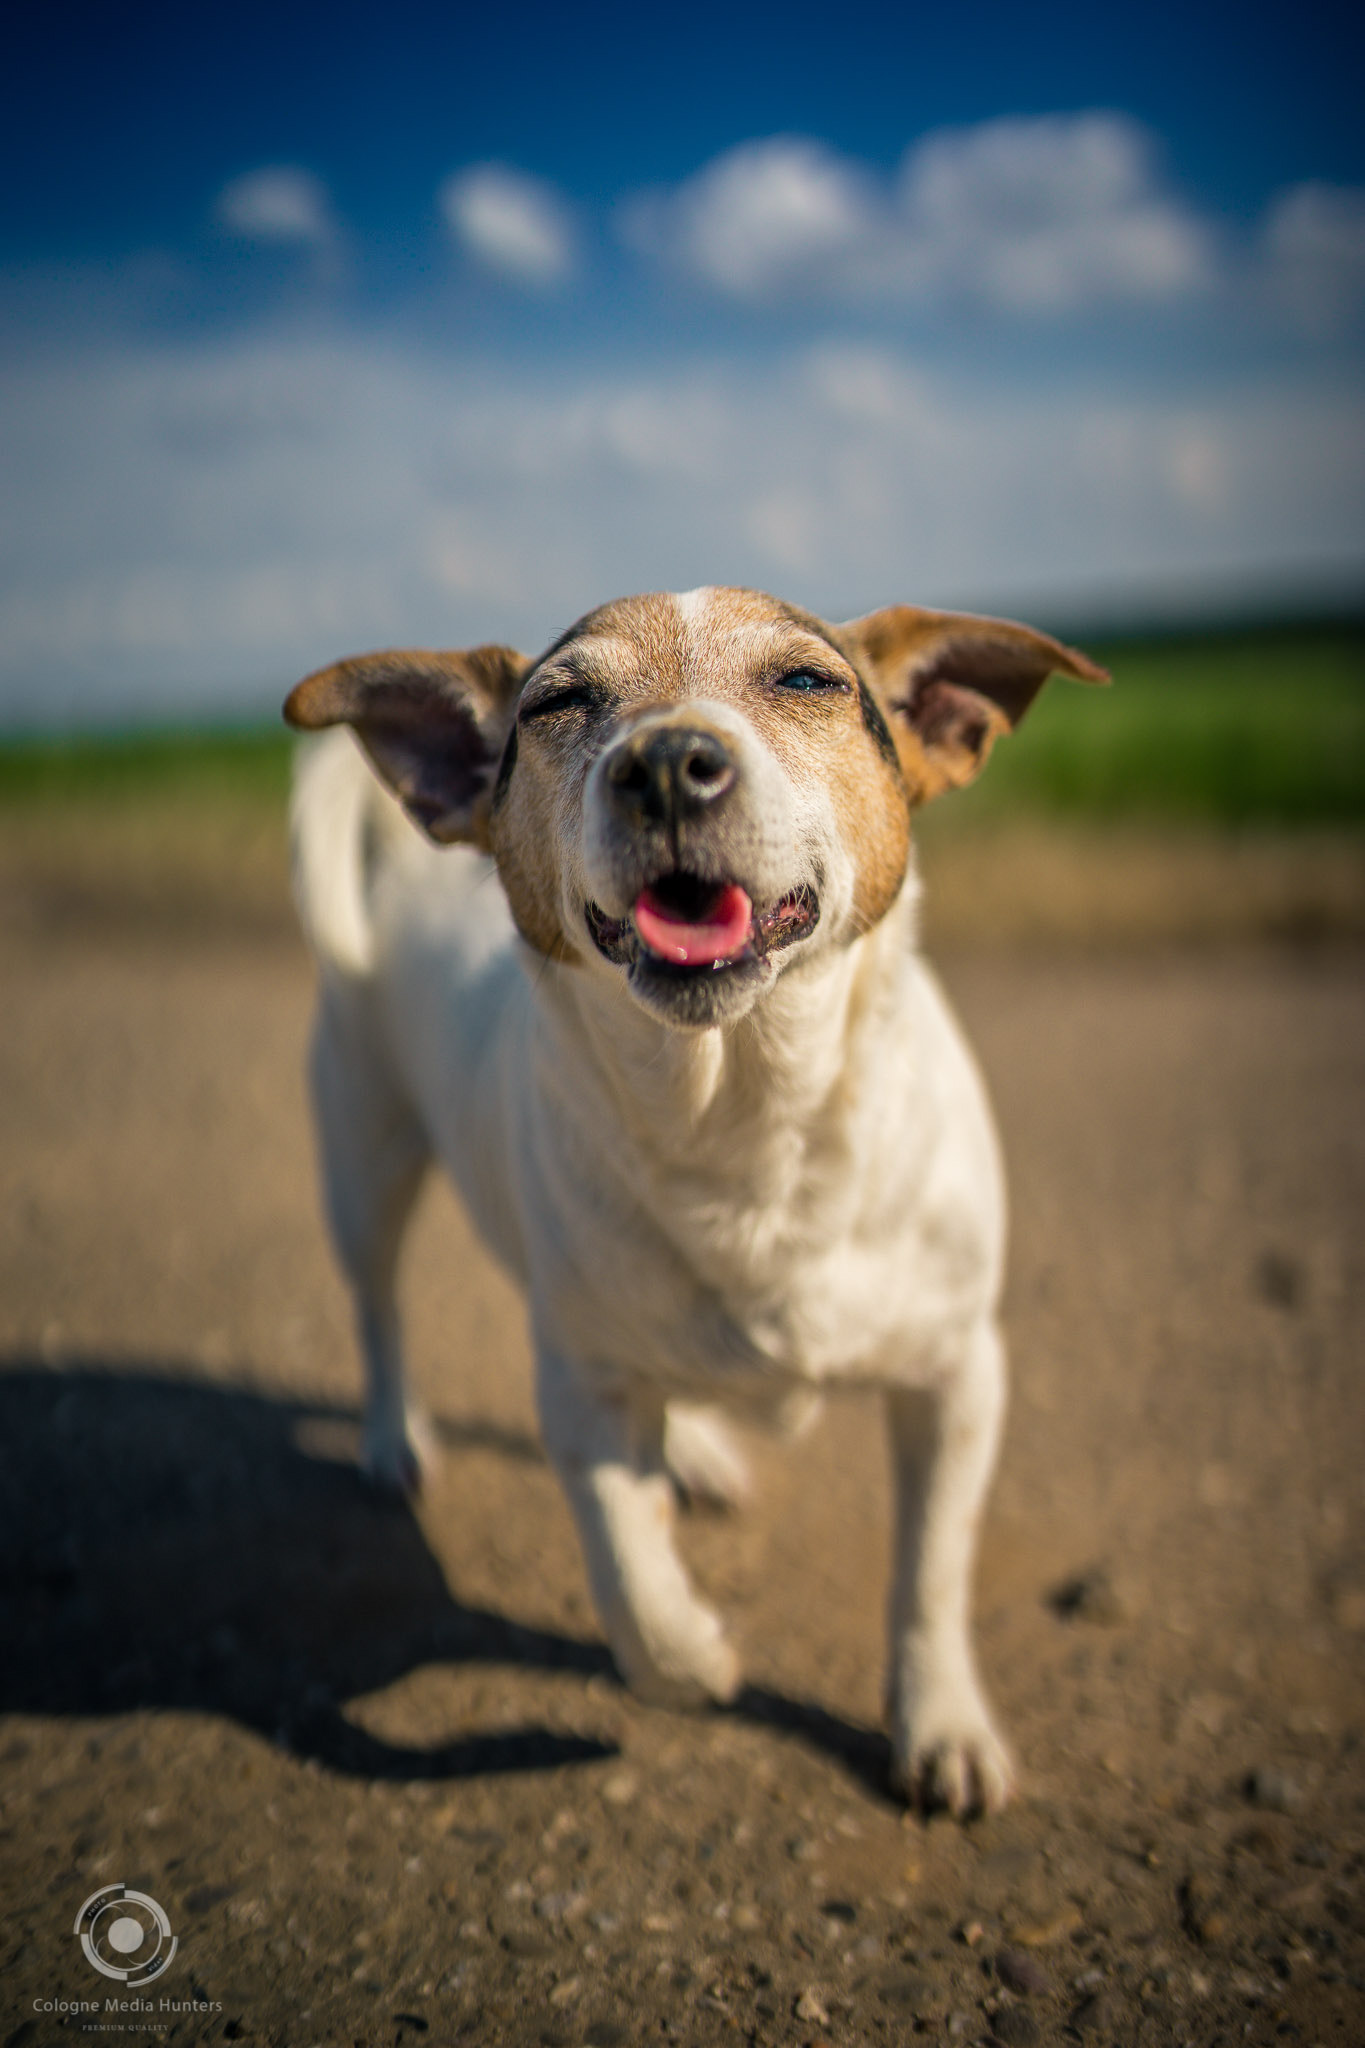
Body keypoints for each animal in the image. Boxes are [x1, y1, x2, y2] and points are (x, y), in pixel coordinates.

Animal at [282, 585, 1105, 1818]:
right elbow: (632, 1584)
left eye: (807, 681)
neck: (744, 1121)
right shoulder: (583, 1388)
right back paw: (395, 1439)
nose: (667, 762)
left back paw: (702, 1451)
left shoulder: (959, 1374)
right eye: (561, 702)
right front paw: (700, 1656)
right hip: (366, 1159)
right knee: (379, 1307)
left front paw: (942, 1723)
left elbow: (930, 1571)